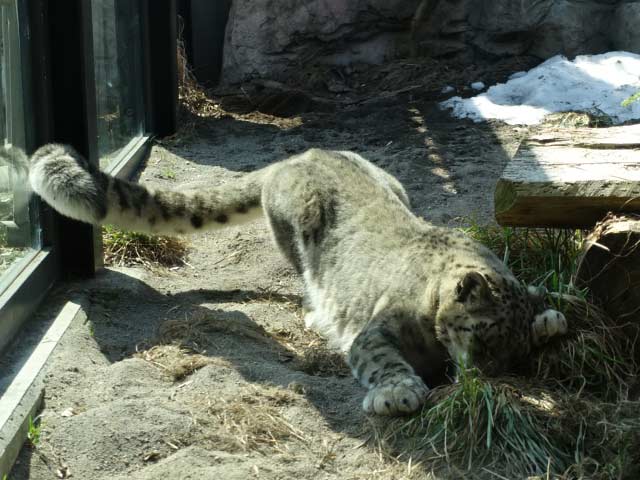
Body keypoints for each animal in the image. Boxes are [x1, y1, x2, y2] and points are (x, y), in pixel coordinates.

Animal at [15, 144, 568, 414]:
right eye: (486, 337)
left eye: (517, 354)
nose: (492, 377)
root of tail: (300, 156)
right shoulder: (379, 331)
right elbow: (381, 358)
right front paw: (397, 393)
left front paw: (551, 318)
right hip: (297, 235)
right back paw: (316, 314)